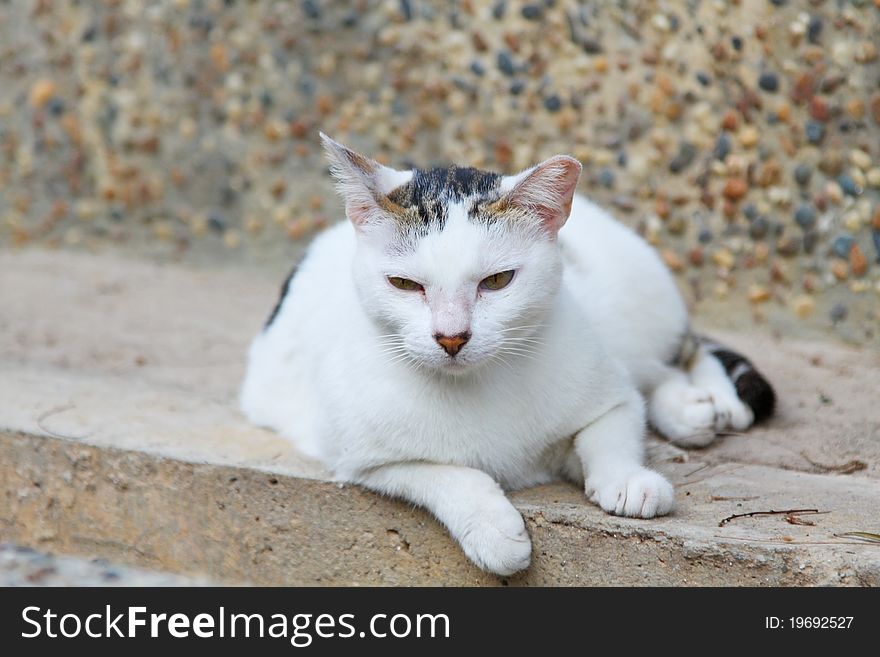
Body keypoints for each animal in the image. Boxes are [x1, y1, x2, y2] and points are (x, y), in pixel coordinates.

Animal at [241, 135, 776, 576]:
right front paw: (494, 531)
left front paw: (627, 479)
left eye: (497, 281)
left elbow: (610, 429)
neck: (477, 385)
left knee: (672, 358)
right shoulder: (361, 460)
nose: (451, 337)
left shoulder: (608, 393)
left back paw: (701, 406)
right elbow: (442, 474)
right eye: (405, 285)